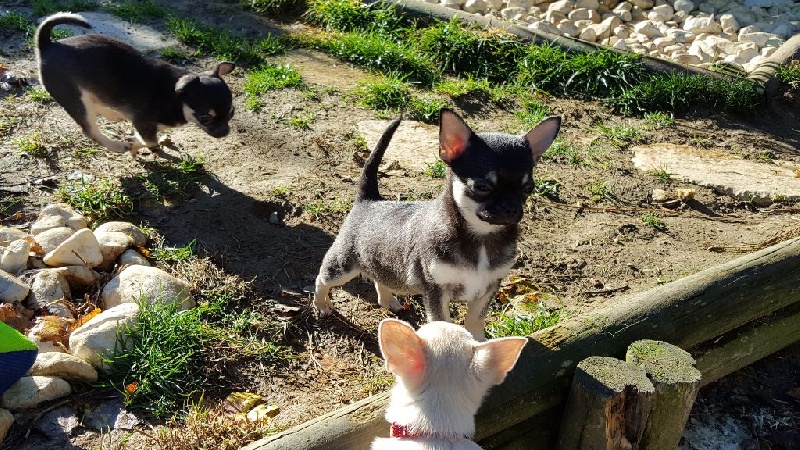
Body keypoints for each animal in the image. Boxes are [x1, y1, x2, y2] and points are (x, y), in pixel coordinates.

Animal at [35, 12, 236, 155]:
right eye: (205, 118)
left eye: (231, 113)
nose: (224, 133)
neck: (176, 99)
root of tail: (47, 45)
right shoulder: (143, 123)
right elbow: (150, 141)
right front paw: (138, 146)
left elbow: (148, 139)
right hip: (74, 98)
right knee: (90, 129)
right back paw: (116, 145)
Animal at [314, 109, 560, 340]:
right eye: (482, 187)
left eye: (528, 189)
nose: (511, 208)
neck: (482, 237)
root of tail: (369, 200)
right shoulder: (436, 290)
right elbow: (444, 323)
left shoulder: (489, 286)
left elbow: (475, 319)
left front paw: (479, 342)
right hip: (343, 266)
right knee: (321, 279)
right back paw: (321, 305)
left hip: (383, 264)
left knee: (379, 277)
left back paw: (387, 299)